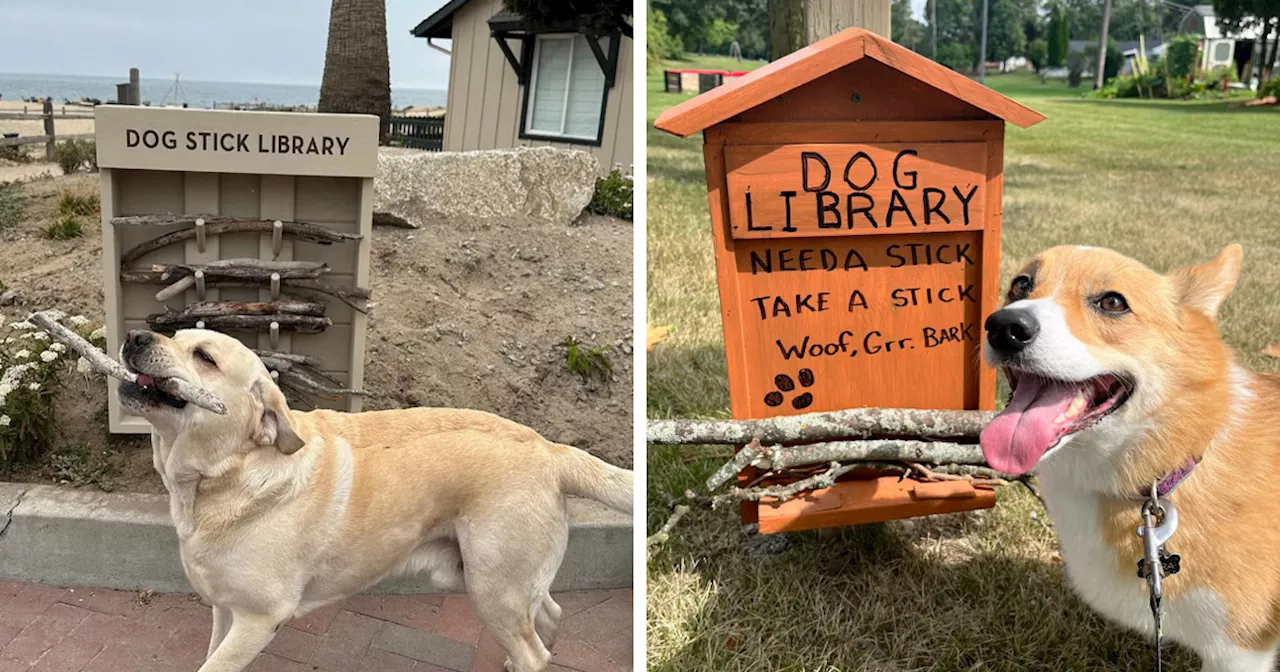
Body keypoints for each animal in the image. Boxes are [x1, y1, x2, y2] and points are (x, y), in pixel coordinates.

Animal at [119, 327, 634, 670]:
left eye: (204, 356)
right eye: (173, 332)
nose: (134, 335)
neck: (227, 473)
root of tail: (550, 448)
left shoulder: (258, 618)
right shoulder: (224, 609)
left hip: (493, 589)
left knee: (533, 649)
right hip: (504, 582)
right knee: (550, 616)